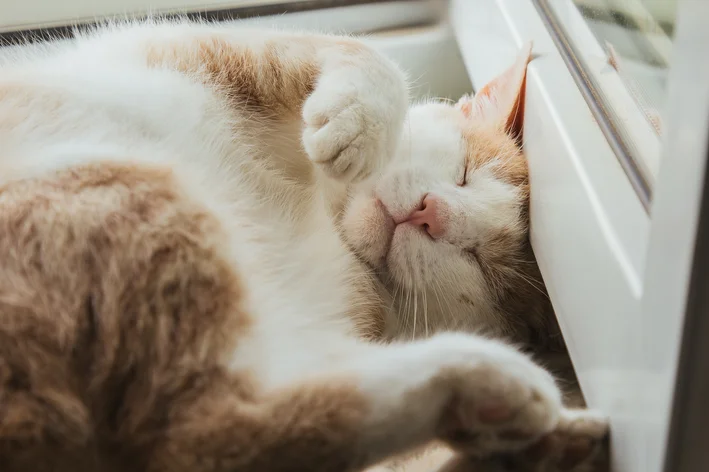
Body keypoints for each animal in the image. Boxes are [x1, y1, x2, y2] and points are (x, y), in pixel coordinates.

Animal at [0, 19, 604, 472]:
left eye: (486, 268)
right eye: (465, 173)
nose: (431, 214)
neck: (322, 210)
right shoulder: (211, 52)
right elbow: (365, 56)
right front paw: (358, 128)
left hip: (135, 201)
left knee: (208, 433)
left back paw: (502, 399)